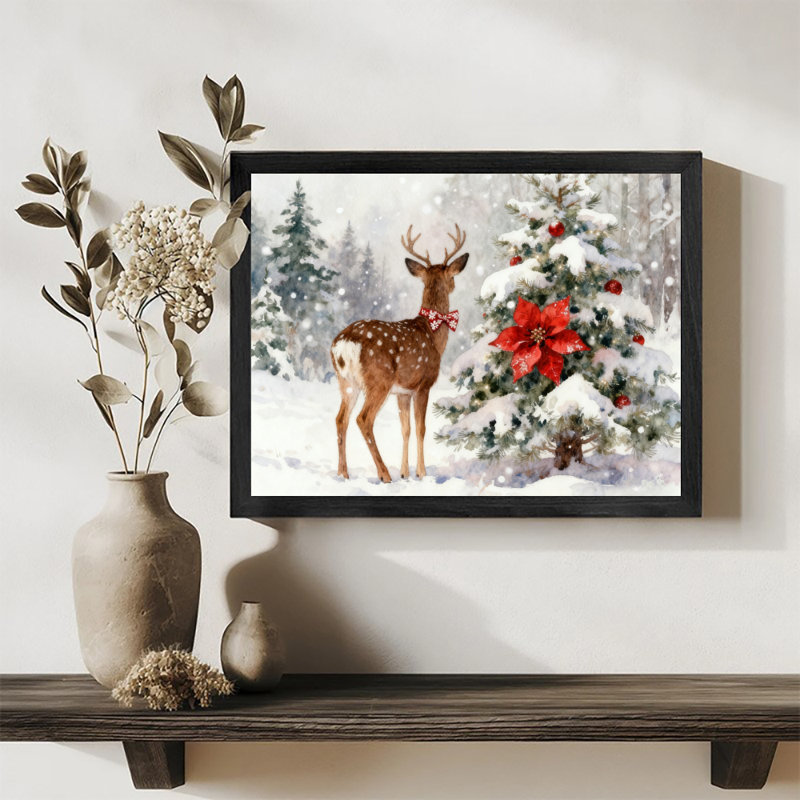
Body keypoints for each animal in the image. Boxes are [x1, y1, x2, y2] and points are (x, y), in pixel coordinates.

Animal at [330, 224, 469, 483]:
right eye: (453, 276)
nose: (455, 284)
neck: (433, 334)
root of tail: (344, 343)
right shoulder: (423, 384)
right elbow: (421, 428)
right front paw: (421, 473)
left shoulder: (402, 391)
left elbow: (405, 429)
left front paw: (405, 472)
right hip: (378, 380)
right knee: (363, 419)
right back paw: (384, 474)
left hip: (346, 382)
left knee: (341, 419)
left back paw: (343, 473)